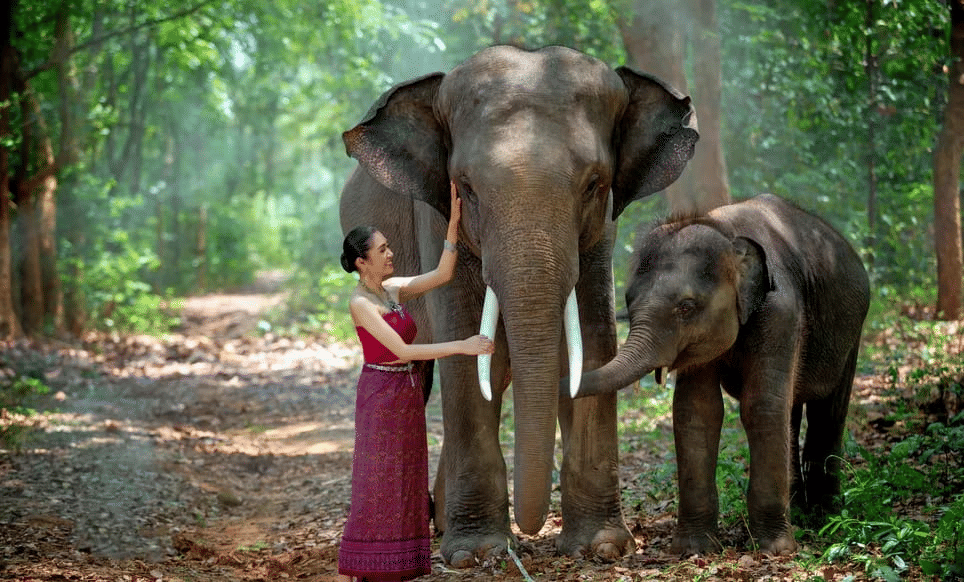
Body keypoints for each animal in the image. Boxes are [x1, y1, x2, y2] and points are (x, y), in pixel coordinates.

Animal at [339, 45, 698, 566]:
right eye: (465, 188)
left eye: (594, 184)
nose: (529, 534)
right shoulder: (435, 222)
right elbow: (465, 361)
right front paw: (474, 555)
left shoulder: (600, 237)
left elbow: (590, 347)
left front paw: (602, 548)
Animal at [573, 194, 870, 555]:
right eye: (628, 301)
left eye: (686, 306)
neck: (724, 231)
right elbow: (697, 410)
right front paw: (693, 549)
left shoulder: (781, 309)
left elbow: (761, 407)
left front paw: (775, 550)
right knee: (791, 409)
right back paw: (801, 511)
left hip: (852, 330)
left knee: (828, 411)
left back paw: (824, 514)